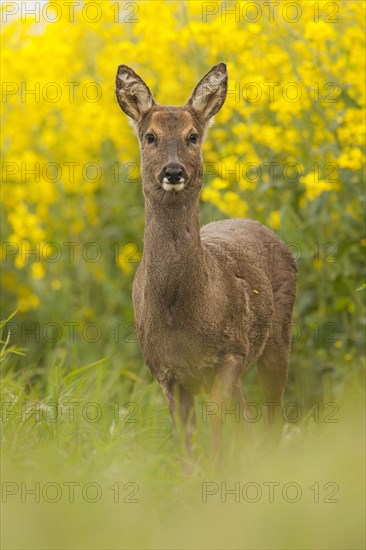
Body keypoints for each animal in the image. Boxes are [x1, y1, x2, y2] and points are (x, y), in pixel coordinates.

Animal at [116, 61, 296, 458]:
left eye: (193, 136)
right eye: (150, 136)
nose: (173, 171)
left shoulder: (230, 353)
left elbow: (217, 423)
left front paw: (216, 472)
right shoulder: (163, 370)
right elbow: (187, 439)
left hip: (278, 336)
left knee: (272, 414)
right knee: (248, 416)